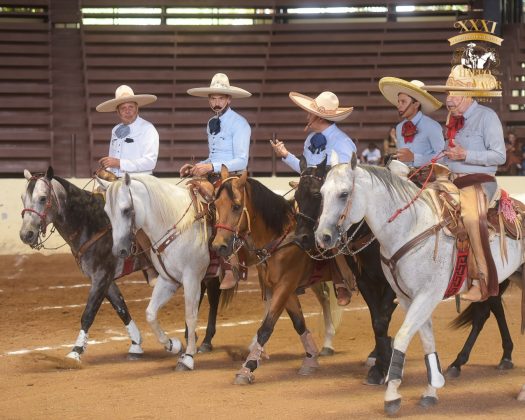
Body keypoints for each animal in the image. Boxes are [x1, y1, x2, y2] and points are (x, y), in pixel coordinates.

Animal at [99, 172, 210, 370]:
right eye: (107, 212)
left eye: (126, 210)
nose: (119, 250)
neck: (176, 225)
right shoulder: (168, 281)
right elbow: (150, 314)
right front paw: (172, 345)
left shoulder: (192, 279)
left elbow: (190, 316)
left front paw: (188, 357)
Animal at [210, 167, 344, 384]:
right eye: (215, 205)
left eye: (237, 207)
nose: (218, 246)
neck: (282, 237)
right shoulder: (283, 288)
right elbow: (299, 323)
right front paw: (310, 359)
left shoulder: (286, 284)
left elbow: (266, 327)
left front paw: (247, 368)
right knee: (324, 298)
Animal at [294, 157, 398, 384]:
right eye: (296, 196)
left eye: (316, 194)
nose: (301, 238)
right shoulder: (366, 280)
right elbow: (377, 319)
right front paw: (379, 364)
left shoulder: (391, 283)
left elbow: (382, 318)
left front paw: (384, 363)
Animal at [314, 156, 520, 416]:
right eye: (321, 193)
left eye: (343, 194)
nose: (322, 237)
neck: (410, 227)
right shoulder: (406, 297)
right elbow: (425, 339)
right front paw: (431, 390)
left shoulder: (426, 295)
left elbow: (402, 336)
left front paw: (391, 394)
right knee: (487, 312)